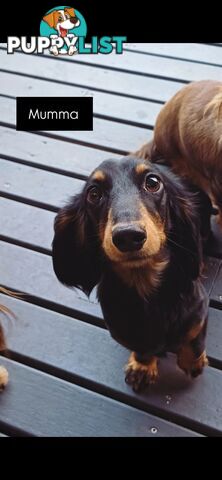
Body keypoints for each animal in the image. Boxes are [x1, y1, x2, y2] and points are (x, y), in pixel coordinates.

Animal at [52, 156, 210, 392]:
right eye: (94, 193)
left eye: (153, 182)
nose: (128, 236)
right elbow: (143, 348)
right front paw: (142, 367)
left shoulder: (199, 308)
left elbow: (194, 336)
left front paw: (193, 362)